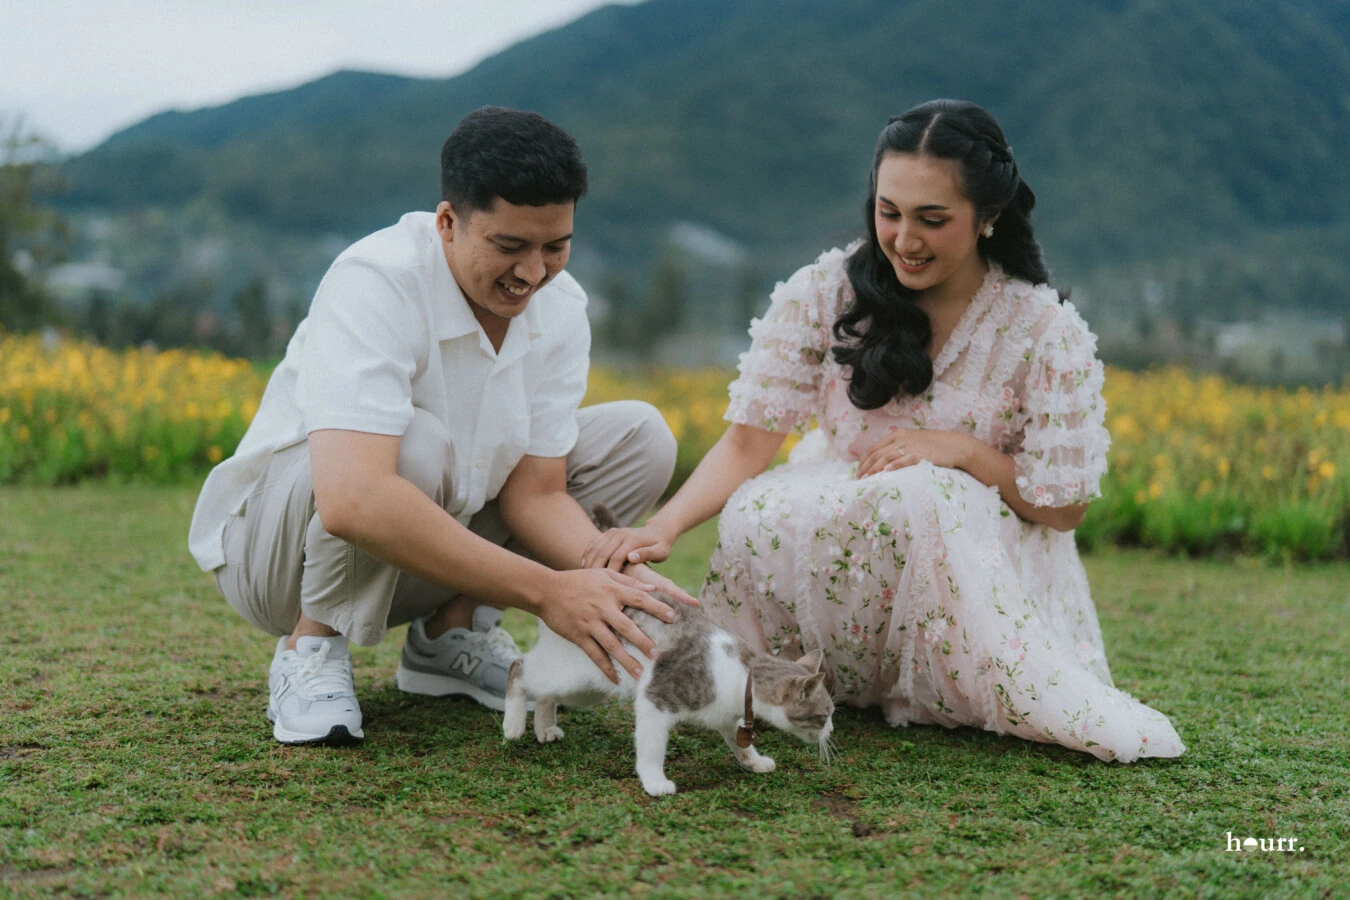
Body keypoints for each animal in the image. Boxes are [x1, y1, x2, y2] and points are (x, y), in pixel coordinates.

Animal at [502, 507, 836, 797]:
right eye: (824, 715)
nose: (831, 731)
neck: (742, 674)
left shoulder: (725, 716)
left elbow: (740, 744)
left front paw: (754, 761)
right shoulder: (656, 698)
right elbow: (651, 747)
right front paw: (654, 782)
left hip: (591, 685)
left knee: (547, 694)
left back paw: (545, 726)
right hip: (573, 671)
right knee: (520, 667)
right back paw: (514, 723)